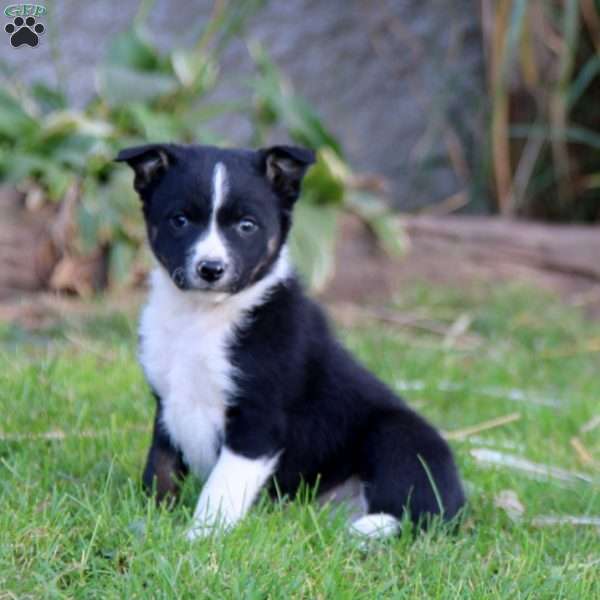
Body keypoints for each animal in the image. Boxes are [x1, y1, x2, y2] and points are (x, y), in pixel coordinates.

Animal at [116, 143, 464, 540]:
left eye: (246, 225)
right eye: (180, 220)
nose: (211, 269)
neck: (201, 318)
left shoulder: (259, 420)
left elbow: (220, 489)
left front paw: (199, 539)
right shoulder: (167, 402)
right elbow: (159, 469)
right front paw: (151, 521)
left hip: (400, 436)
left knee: (419, 516)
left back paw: (369, 528)